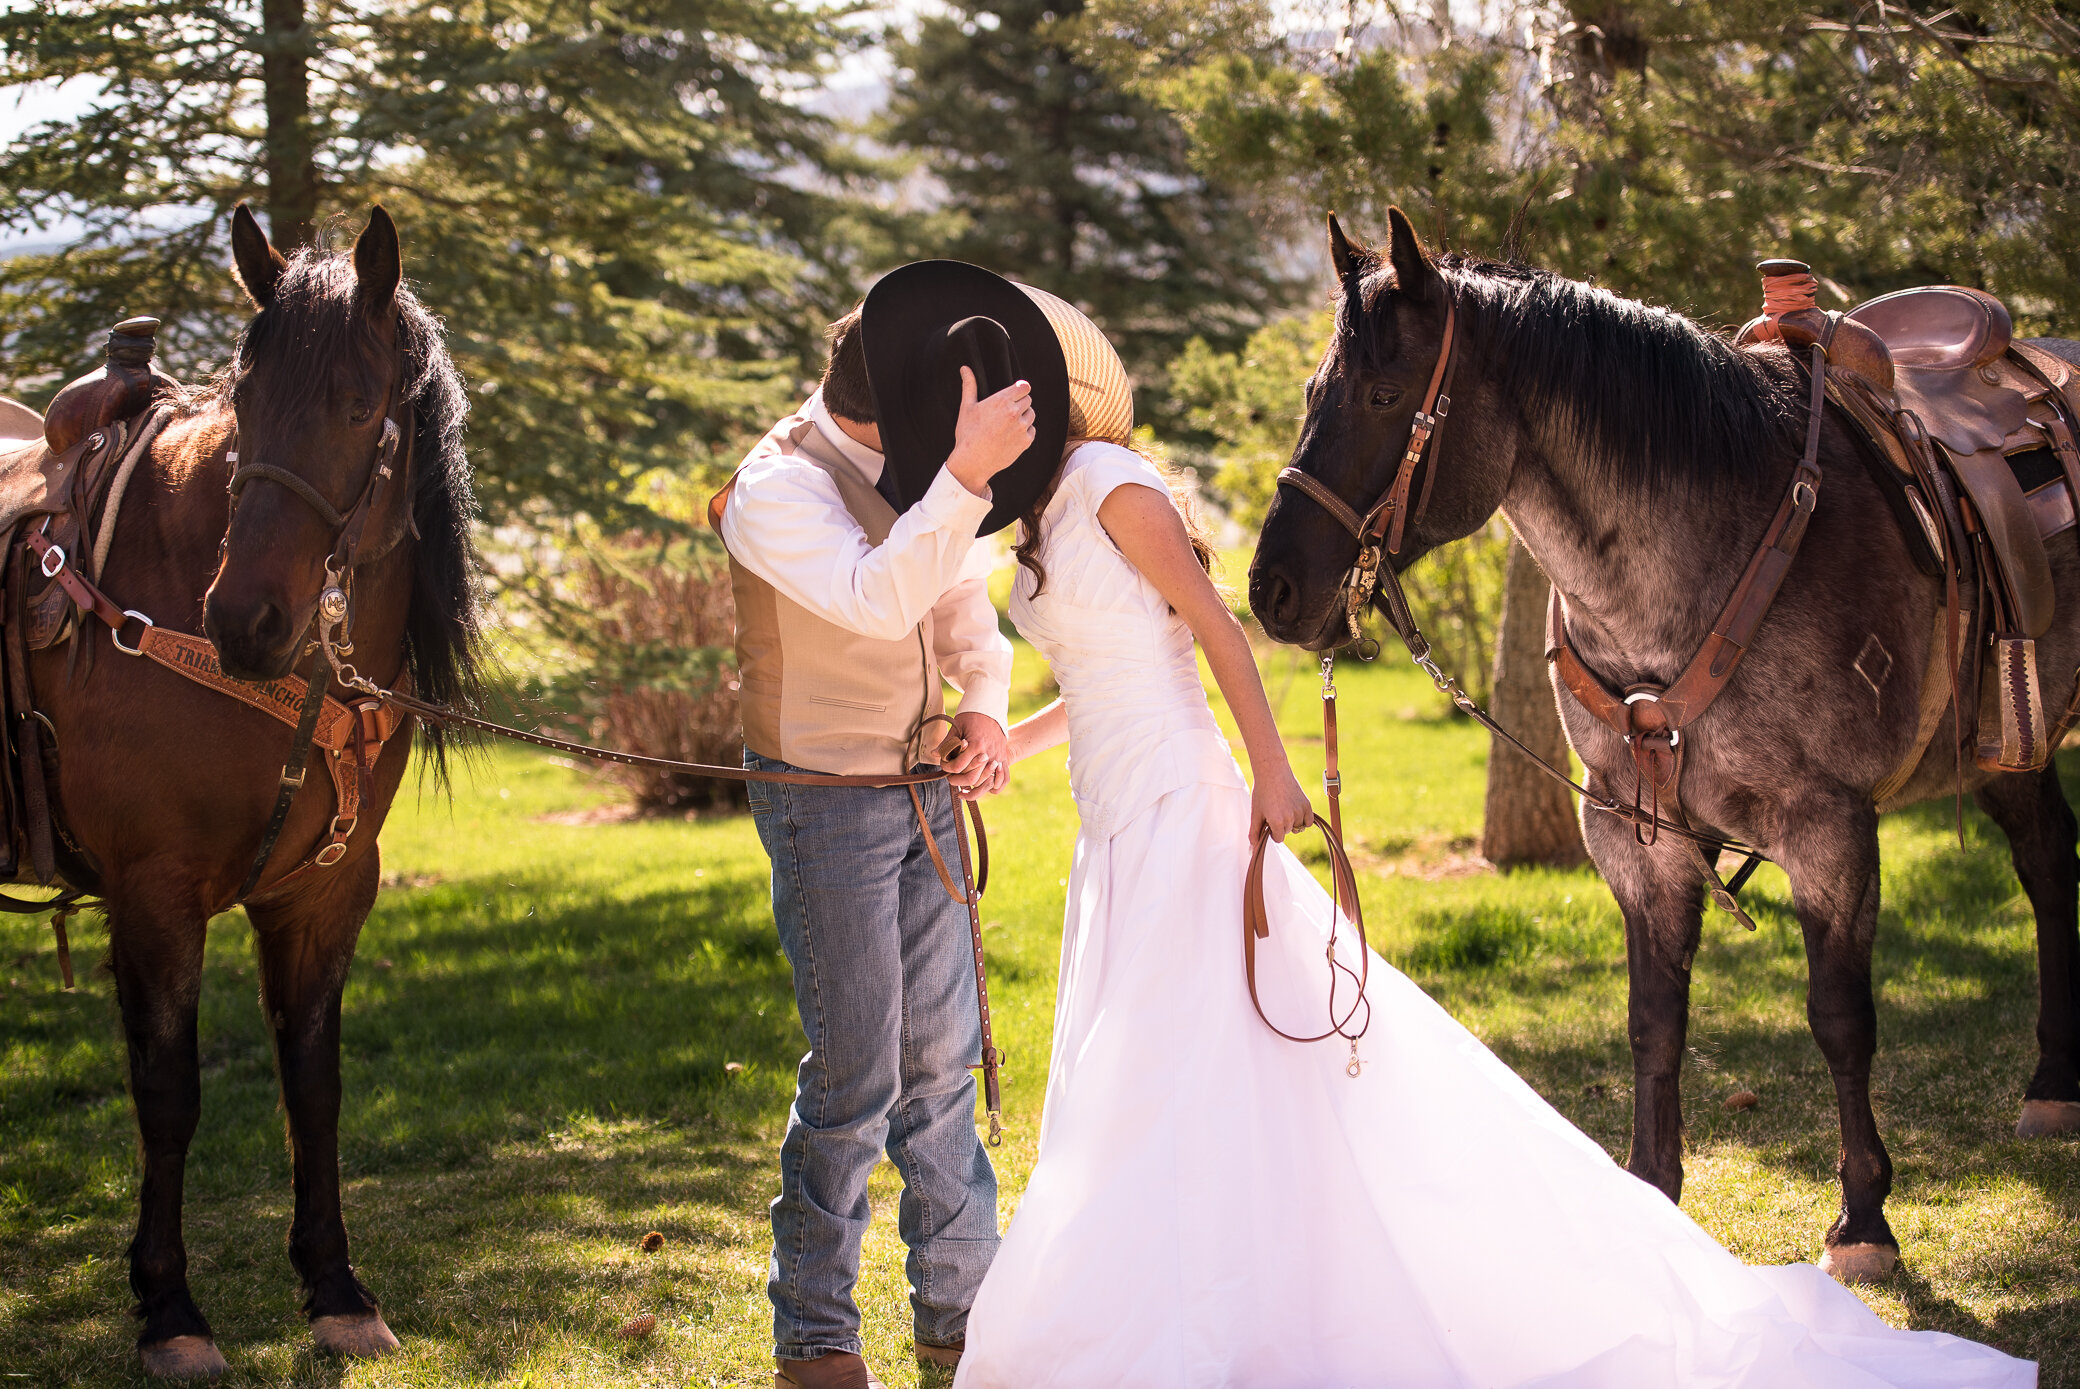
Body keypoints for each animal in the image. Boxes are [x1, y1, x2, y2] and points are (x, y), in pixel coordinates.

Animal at [23, 205, 478, 1380]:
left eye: (359, 404)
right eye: (245, 396)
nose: (246, 619)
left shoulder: (321, 896)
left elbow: (311, 1088)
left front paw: (336, 1290)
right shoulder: (154, 896)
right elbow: (168, 1094)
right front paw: (169, 1309)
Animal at [1248, 212, 2080, 1289]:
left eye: (1385, 395)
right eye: (1315, 392)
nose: (1271, 589)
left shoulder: (1828, 827)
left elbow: (1839, 1017)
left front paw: (1862, 1218)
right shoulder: (1631, 835)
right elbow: (1654, 1020)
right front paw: (1652, 1198)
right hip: (2007, 744)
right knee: (2046, 861)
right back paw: (2053, 1080)